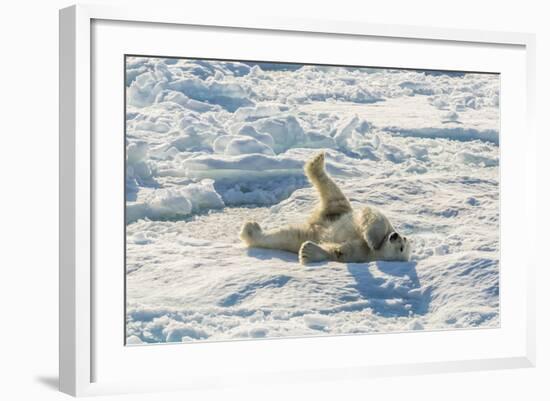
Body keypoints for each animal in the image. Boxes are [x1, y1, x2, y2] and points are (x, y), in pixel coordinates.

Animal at [239, 152, 412, 264]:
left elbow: (338, 251)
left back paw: (250, 231)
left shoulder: (360, 254)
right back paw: (317, 161)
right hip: (338, 210)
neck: (375, 251)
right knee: (333, 190)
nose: (395, 236)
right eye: (403, 239)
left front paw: (307, 252)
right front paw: (372, 239)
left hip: (312, 227)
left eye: (402, 248)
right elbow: (375, 216)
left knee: (283, 237)